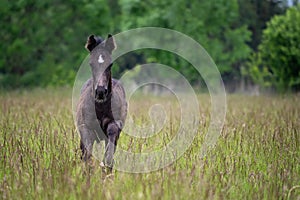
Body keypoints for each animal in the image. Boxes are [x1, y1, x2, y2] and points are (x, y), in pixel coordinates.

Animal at [76, 34, 126, 170]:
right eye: (91, 64)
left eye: (110, 64)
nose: (100, 91)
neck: (100, 107)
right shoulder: (86, 128)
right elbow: (87, 156)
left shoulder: (114, 126)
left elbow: (109, 156)